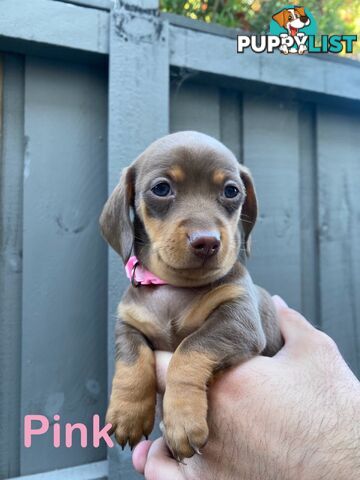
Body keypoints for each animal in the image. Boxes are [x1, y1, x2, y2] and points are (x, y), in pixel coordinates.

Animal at [100, 130, 282, 462]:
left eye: (231, 191)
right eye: (161, 188)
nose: (206, 242)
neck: (176, 287)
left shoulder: (238, 320)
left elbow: (190, 349)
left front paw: (183, 420)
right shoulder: (129, 323)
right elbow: (132, 357)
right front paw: (128, 412)